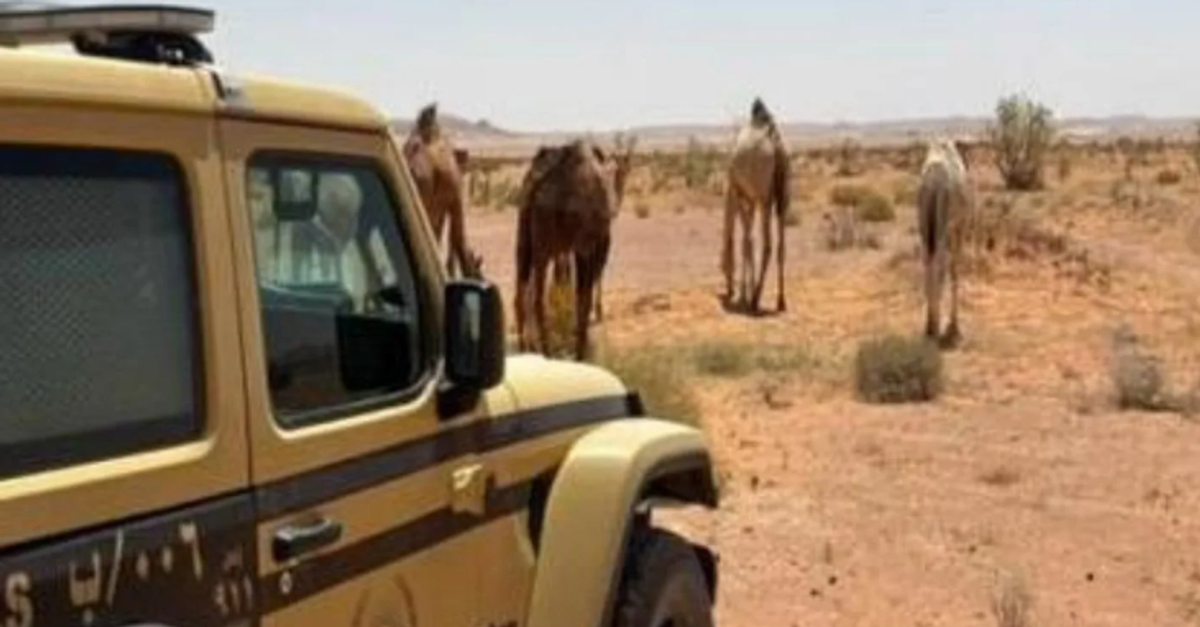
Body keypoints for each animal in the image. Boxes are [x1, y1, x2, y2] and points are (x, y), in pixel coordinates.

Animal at [401, 103, 482, 278]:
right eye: (479, 274)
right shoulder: (454, 201)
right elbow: (454, 236)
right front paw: (448, 273)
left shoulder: (439, 206)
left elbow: (437, 234)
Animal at [514, 138, 632, 360]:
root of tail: (536, 184)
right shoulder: (595, 242)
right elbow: (585, 294)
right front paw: (583, 349)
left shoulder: (569, 248)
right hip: (549, 239)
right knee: (541, 298)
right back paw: (549, 352)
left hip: (526, 234)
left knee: (524, 291)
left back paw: (528, 349)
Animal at [722, 98, 792, 313]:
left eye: (722, 265)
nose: (727, 290)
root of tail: (776, 143)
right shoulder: (750, 200)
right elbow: (748, 239)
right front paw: (745, 292)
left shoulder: (739, 193)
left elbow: (745, 240)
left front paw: (744, 294)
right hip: (783, 196)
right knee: (781, 245)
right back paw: (781, 301)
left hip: (764, 197)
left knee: (767, 244)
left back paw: (755, 298)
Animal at [916, 138, 975, 348]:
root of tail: (933, 181)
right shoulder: (959, 228)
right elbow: (956, 268)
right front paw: (954, 328)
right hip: (944, 222)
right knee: (940, 265)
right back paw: (938, 328)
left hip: (924, 221)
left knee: (927, 261)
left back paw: (929, 327)